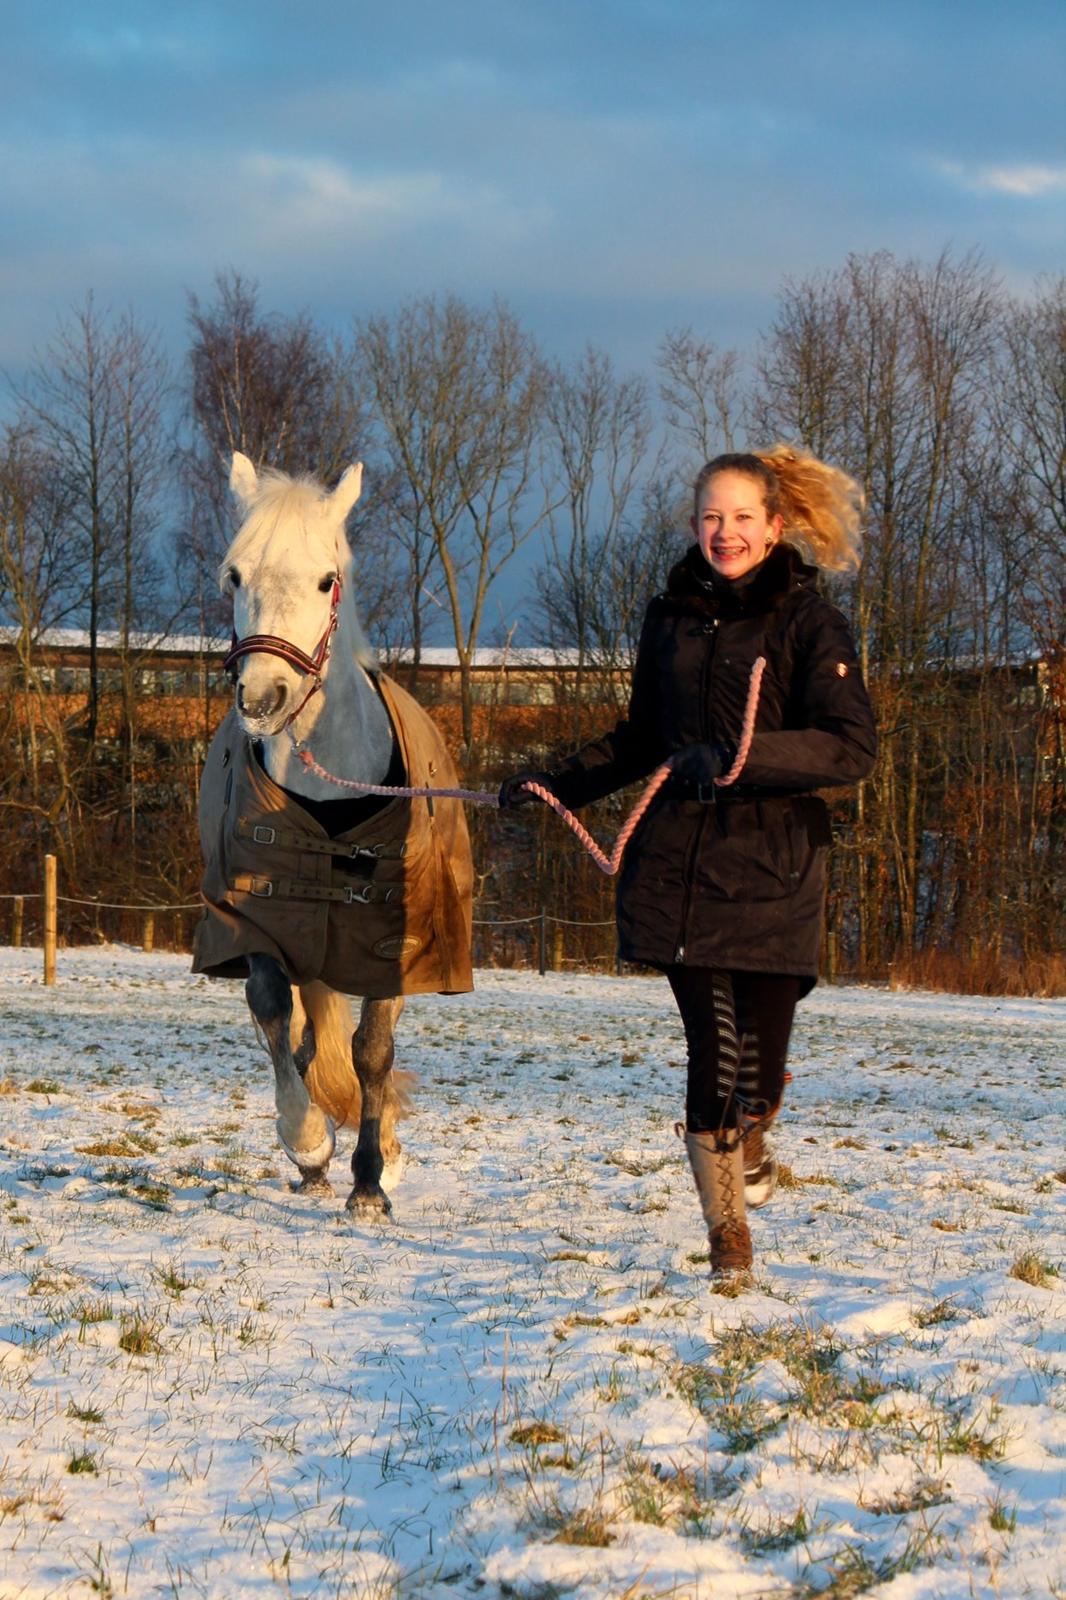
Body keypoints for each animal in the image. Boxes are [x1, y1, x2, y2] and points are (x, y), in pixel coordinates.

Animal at [195, 457, 470, 1216]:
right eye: (234, 575)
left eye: (326, 580)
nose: (264, 699)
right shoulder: (259, 915)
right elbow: (274, 1019)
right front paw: (311, 1142)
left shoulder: (393, 941)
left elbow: (372, 1052)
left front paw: (373, 1179)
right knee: (306, 1040)